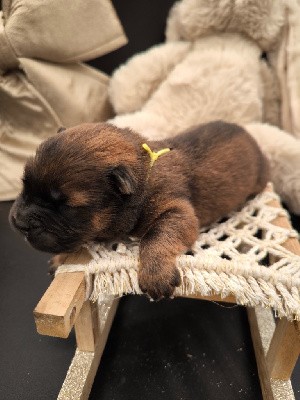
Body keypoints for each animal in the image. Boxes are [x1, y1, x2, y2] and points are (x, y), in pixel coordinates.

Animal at [9, 120, 270, 298]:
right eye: (24, 185)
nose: (19, 223)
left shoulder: (177, 210)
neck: (143, 176)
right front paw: (61, 258)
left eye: (65, 206)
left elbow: (157, 235)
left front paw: (156, 274)